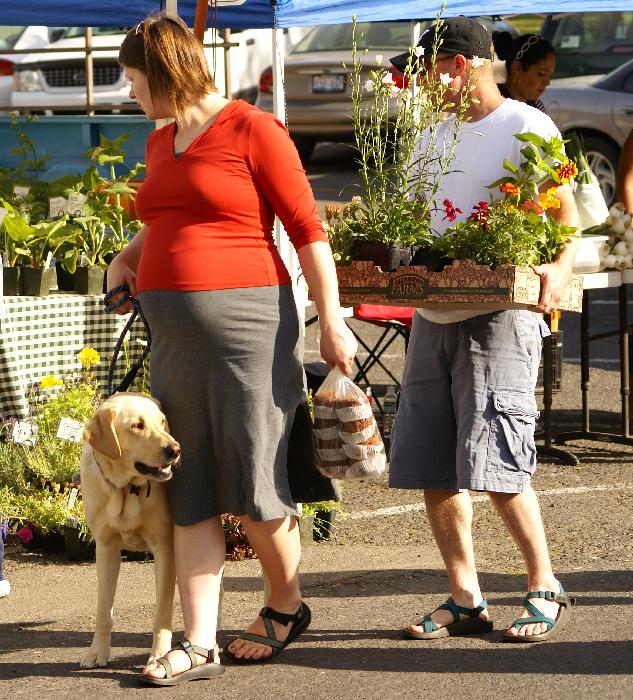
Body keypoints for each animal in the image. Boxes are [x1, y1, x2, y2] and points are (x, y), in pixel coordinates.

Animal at [78, 392, 180, 668]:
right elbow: (103, 609)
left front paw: (160, 654)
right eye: (137, 425)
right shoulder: (105, 549)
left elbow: (162, 611)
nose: (176, 450)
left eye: (163, 422)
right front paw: (97, 652)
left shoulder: (165, 549)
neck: (124, 490)